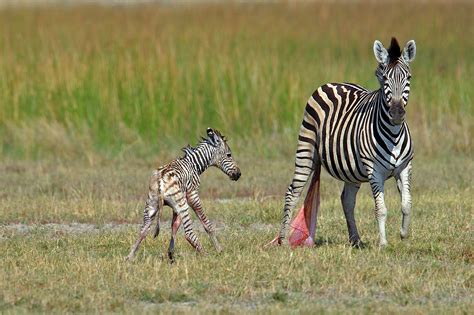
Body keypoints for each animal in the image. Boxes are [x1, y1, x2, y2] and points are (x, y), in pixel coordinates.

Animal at [126, 128, 241, 262]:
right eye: (229, 155)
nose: (238, 174)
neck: (194, 165)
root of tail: (161, 182)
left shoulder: (179, 202)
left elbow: (174, 225)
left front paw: (171, 254)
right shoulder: (192, 195)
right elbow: (207, 224)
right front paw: (219, 250)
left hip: (152, 204)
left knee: (143, 229)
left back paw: (129, 257)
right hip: (182, 205)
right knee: (188, 233)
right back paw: (205, 255)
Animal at [270, 37, 414, 249]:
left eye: (408, 78)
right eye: (385, 79)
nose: (396, 114)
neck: (393, 134)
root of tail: (332, 83)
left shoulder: (404, 167)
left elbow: (406, 204)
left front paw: (403, 235)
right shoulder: (374, 171)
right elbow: (381, 209)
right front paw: (383, 244)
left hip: (351, 169)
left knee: (347, 200)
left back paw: (355, 240)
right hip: (306, 150)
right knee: (292, 193)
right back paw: (283, 240)